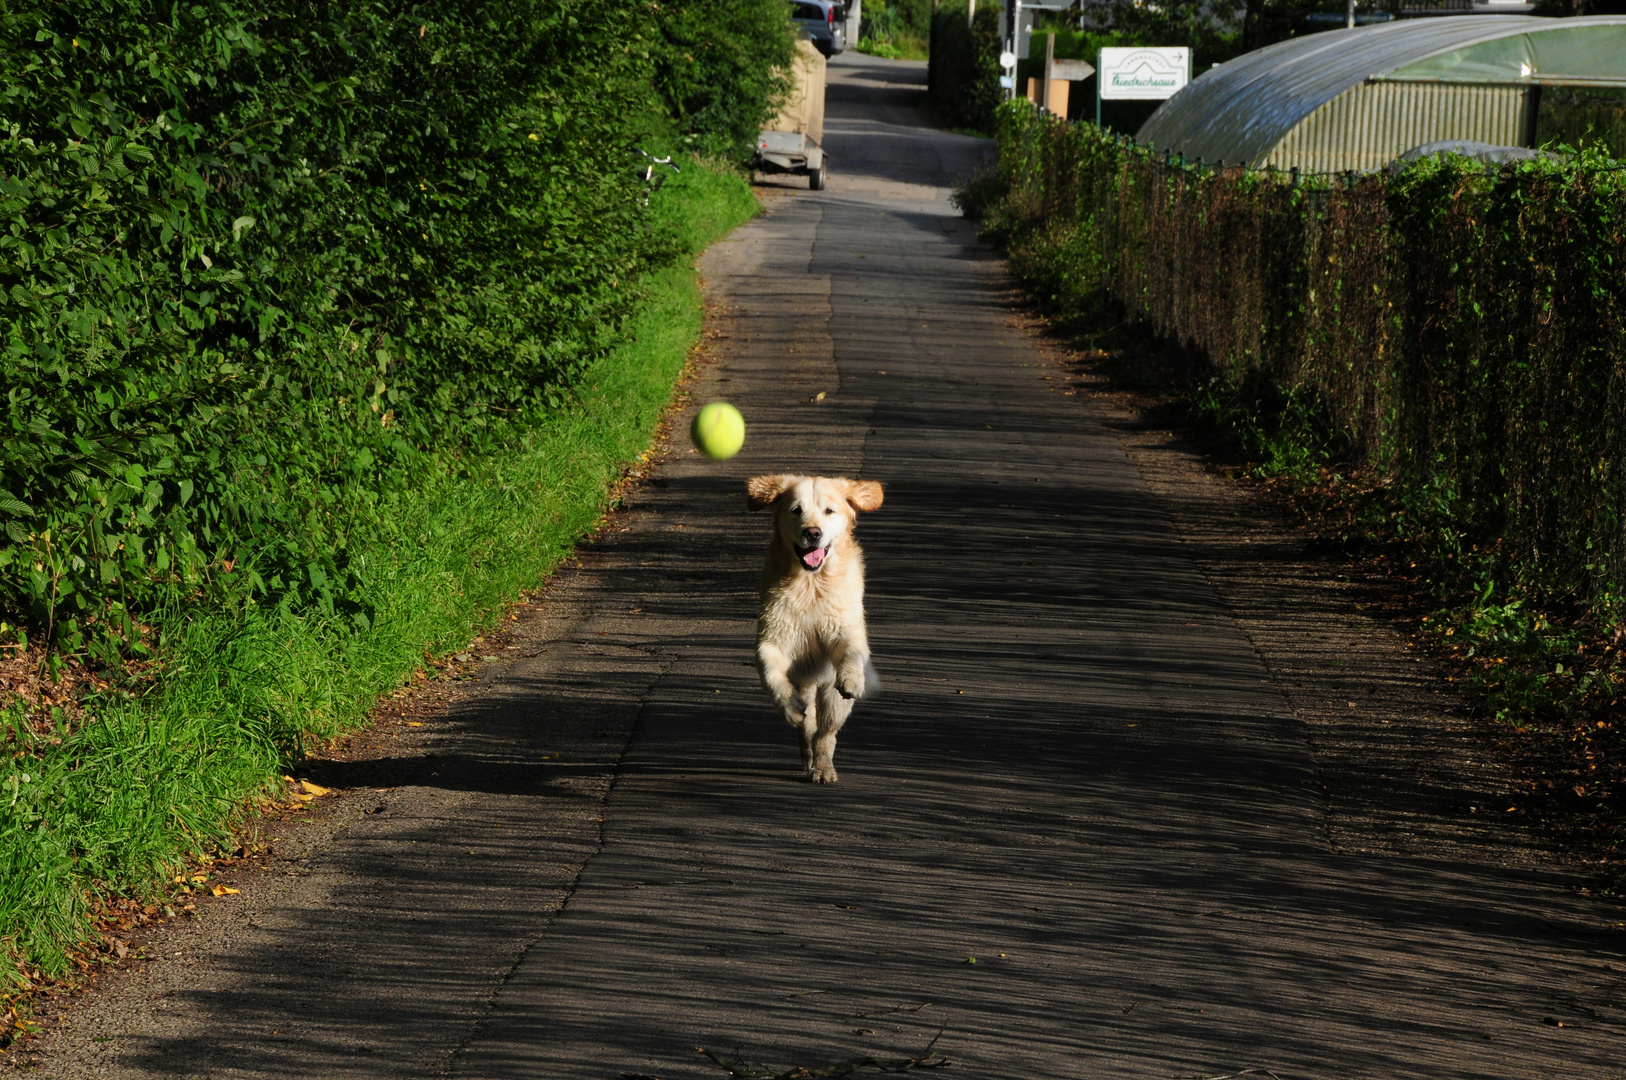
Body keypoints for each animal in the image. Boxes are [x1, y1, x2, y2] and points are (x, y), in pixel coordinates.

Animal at [744, 478, 884, 780]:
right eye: (796, 510)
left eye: (829, 510)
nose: (812, 532)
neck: (812, 584)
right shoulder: (772, 637)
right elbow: (771, 673)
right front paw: (789, 706)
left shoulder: (845, 629)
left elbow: (851, 651)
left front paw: (853, 679)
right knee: (808, 727)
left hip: (832, 698)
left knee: (825, 733)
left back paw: (822, 767)